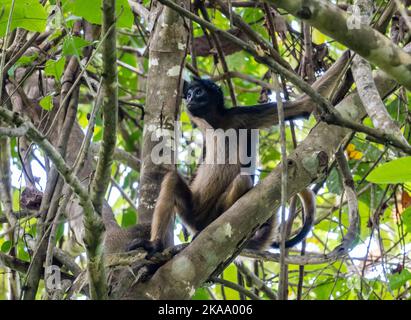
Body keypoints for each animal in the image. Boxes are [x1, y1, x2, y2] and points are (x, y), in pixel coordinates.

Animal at [129, 79, 318, 254]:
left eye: (198, 92)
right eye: (189, 94)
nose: (189, 99)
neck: (217, 123)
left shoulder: (242, 115)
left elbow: (304, 106)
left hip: (212, 211)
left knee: (242, 181)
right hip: (192, 212)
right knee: (172, 179)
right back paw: (155, 244)